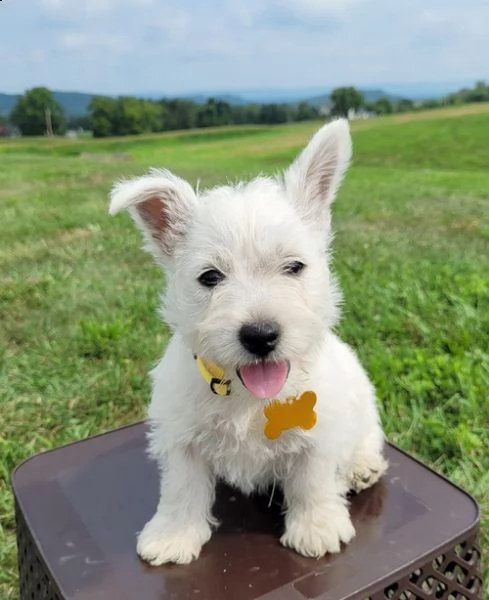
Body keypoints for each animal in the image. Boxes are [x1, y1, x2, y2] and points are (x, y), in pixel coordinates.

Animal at [108, 119, 386, 564]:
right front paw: (173, 535)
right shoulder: (182, 437)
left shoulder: (319, 434)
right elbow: (181, 488)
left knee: (367, 434)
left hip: (361, 399)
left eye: (294, 266)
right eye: (210, 277)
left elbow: (313, 480)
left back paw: (362, 466)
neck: (248, 396)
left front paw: (316, 527)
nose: (261, 335)